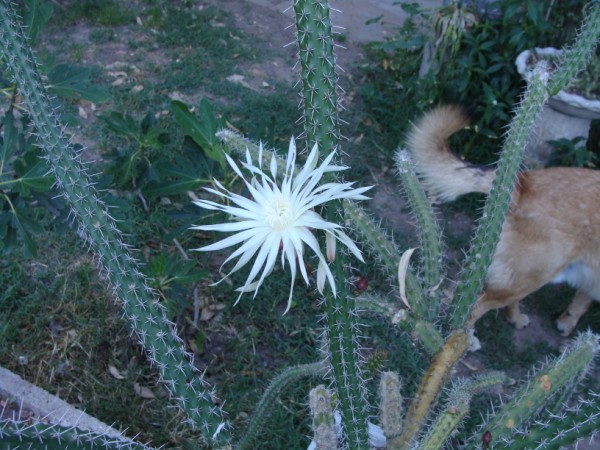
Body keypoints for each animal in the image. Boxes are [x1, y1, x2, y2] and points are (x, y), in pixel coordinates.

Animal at [406, 105, 600, 338]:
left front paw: (567, 323)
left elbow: (581, 303)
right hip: (527, 278)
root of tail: (522, 184)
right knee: (476, 307)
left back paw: (515, 319)